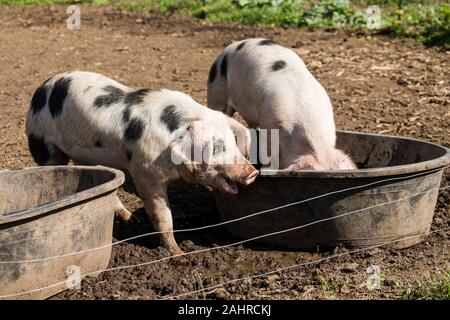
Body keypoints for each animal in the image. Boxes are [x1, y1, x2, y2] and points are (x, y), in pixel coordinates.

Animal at [25, 70, 256, 255]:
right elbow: (163, 216)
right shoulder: (145, 173)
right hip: (44, 144)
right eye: (216, 147)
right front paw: (178, 254)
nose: (252, 172)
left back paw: (129, 217)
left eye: (233, 142)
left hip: (86, 155)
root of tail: (41, 88)